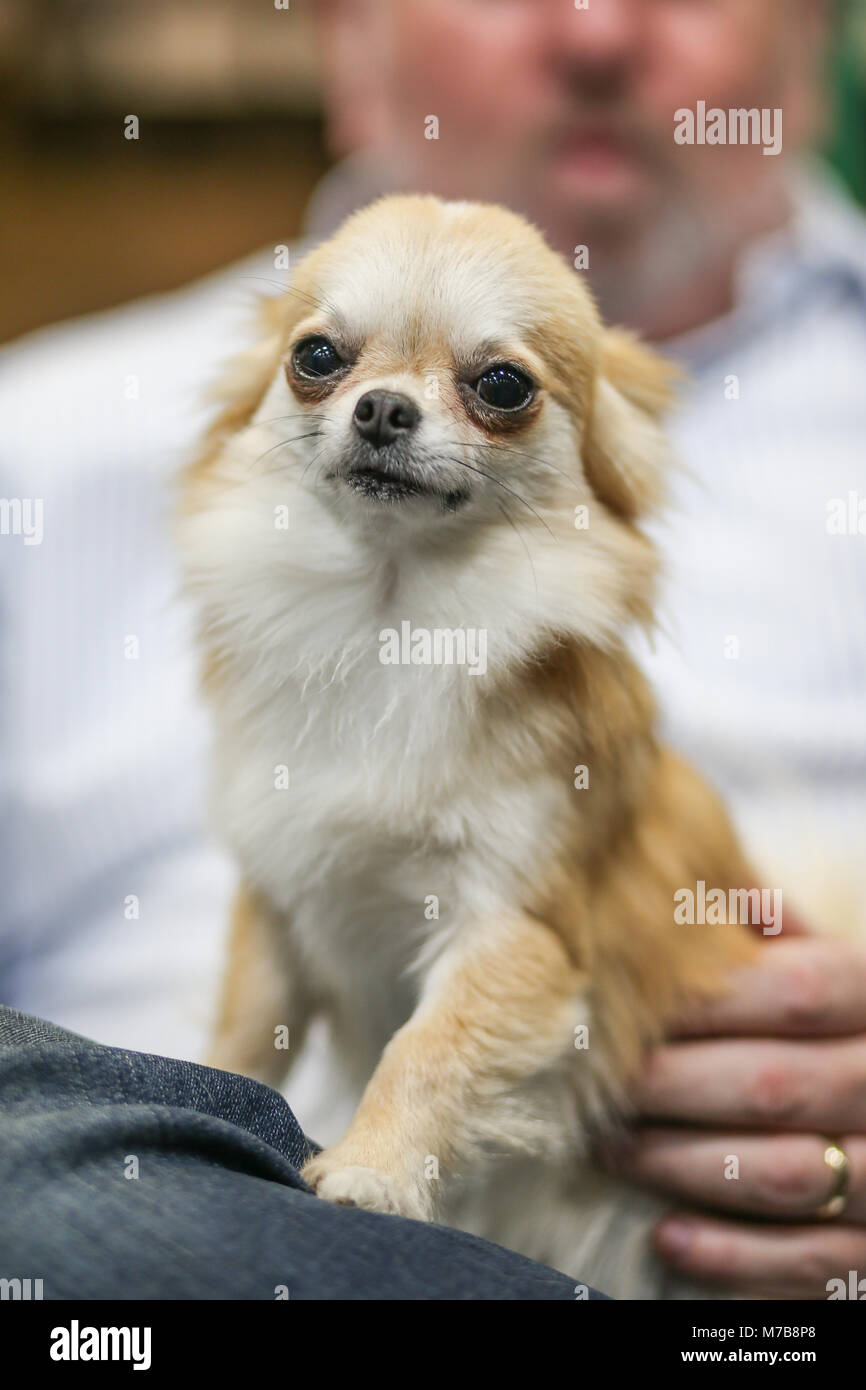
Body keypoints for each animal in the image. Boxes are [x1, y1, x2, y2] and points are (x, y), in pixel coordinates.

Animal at [183, 198, 756, 1301]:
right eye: (315, 357)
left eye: (501, 386)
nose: (380, 409)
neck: (392, 621)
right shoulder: (276, 895)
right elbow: (242, 1031)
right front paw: (209, 1086)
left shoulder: (515, 930)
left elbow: (428, 1048)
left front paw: (370, 1169)